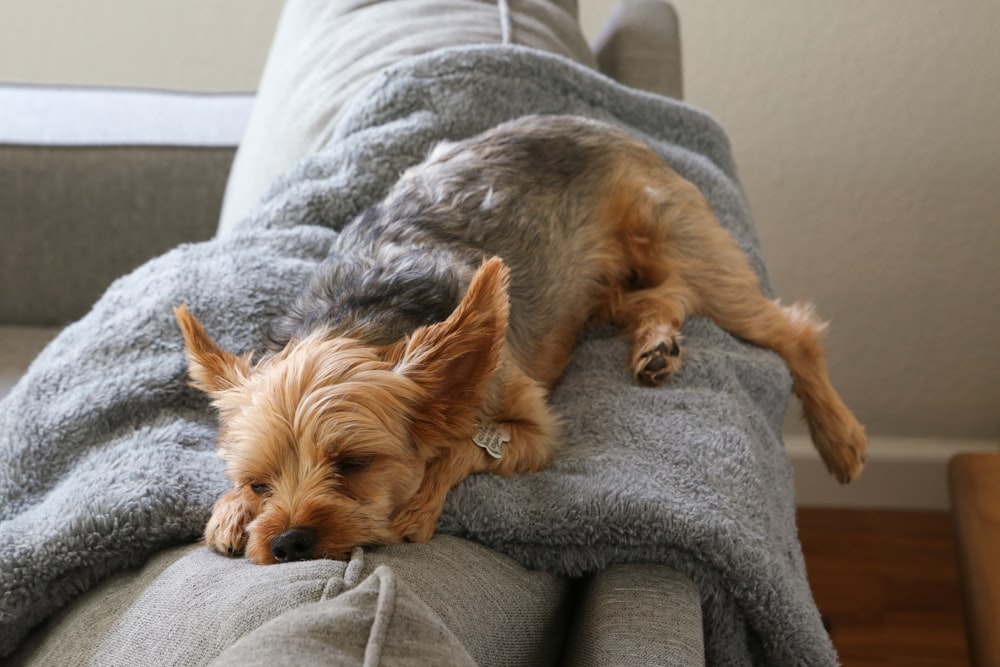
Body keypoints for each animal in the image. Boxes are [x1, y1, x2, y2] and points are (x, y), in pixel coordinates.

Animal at [174, 115, 868, 564]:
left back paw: (839, 436)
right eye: (259, 482)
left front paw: (416, 507)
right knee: (661, 297)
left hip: (682, 240)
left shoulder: (534, 429)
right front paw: (230, 511)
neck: (362, 322)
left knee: (789, 329)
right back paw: (656, 345)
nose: (287, 543)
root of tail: (609, 123)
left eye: (353, 465)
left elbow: (463, 447)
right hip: (592, 289)